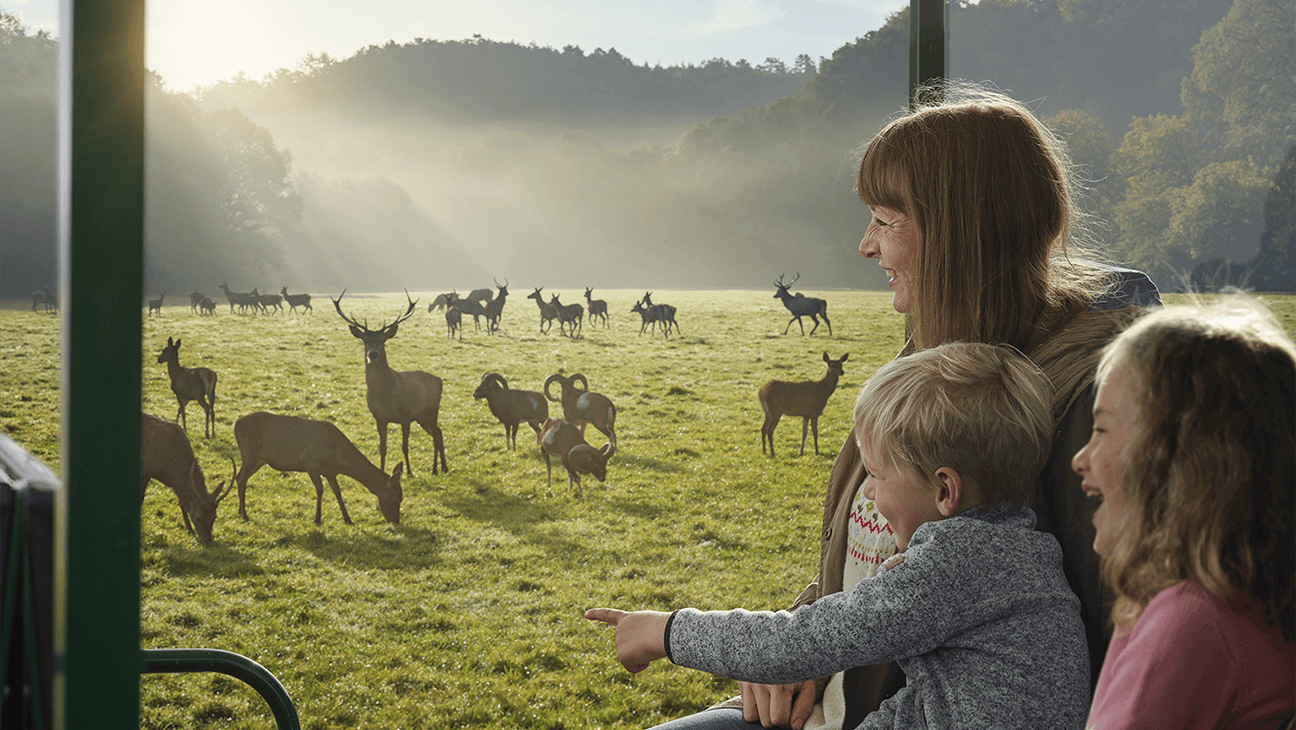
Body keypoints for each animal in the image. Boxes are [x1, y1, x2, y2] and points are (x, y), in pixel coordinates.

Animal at [143, 412, 231, 541]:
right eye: (198, 518)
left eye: (214, 517)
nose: (208, 540)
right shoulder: (145, 472)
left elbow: (182, 503)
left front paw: (189, 529)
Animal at [233, 412, 401, 526]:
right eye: (395, 500)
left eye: (401, 498)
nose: (396, 522)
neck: (338, 458)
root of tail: (236, 422)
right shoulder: (310, 461)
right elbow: (320, 489)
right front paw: (317, 519)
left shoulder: (330, 472)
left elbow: (338, 492)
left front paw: (348, 519)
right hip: (249, 455)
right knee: (240, 478)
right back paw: (245, 515)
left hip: (257, 459)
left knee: (240, 478)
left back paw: (240, 512)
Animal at [331, 291, 448, 479]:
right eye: (365, 340)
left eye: (382, 340)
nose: (373, 354)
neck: (385, 394)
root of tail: (439, 379)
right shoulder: (379, 418)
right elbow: (383, 448)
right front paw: (382, 470)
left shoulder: (406, 416)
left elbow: (404, 447)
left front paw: (409, 473)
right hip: (421, 415)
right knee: (438, 432)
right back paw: (440, 468)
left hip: (431, 409)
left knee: (437, 433)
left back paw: (438, 468)